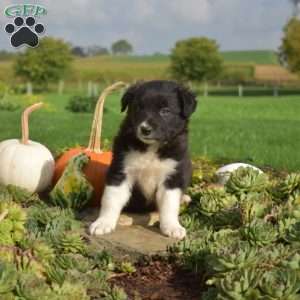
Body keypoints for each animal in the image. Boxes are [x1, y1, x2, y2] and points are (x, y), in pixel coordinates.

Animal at [89, 80, 197, 239]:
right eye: (138, 108)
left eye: (165, 111)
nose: (145, 129)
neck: (151, 148)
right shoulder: (120, 170)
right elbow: (111, 199)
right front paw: (103, 223)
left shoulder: (173, 175)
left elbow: (169, 204)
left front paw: (172, 227)